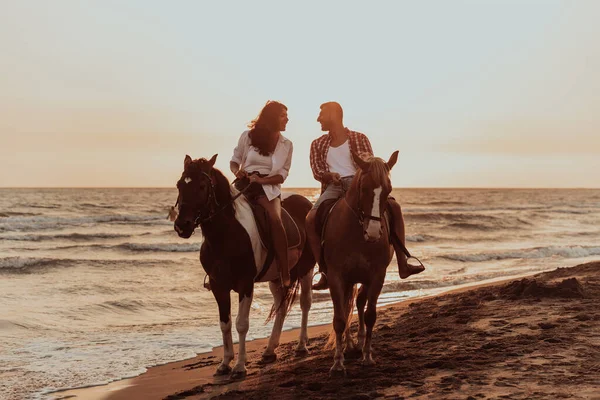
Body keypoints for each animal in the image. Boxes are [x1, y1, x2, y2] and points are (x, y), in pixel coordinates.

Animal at [172, 155, 314, 380]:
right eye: (179, 185)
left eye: (202, 186)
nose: (182, 225)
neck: (226, 235)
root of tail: (307, 203)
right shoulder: (218, 285)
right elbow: (225, 324)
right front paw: (224, 364)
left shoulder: (245, 283)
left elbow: (241, 324)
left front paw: (239, 367)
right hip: (277, 277)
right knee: (281, 307)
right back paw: (270, 350)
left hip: (306, 268)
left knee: (305, 303)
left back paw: (301, 345)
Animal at [322, 151, 400, 378]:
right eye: (364, 188)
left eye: (388, 190)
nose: (373, 232)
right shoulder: (336, 277)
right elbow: (339, 319)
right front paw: (338, 363)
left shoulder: (377, 276)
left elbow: (370, 314)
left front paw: (367, 356)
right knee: (346, 307)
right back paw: (348, 345)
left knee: (358, 302)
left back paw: (358, 342)